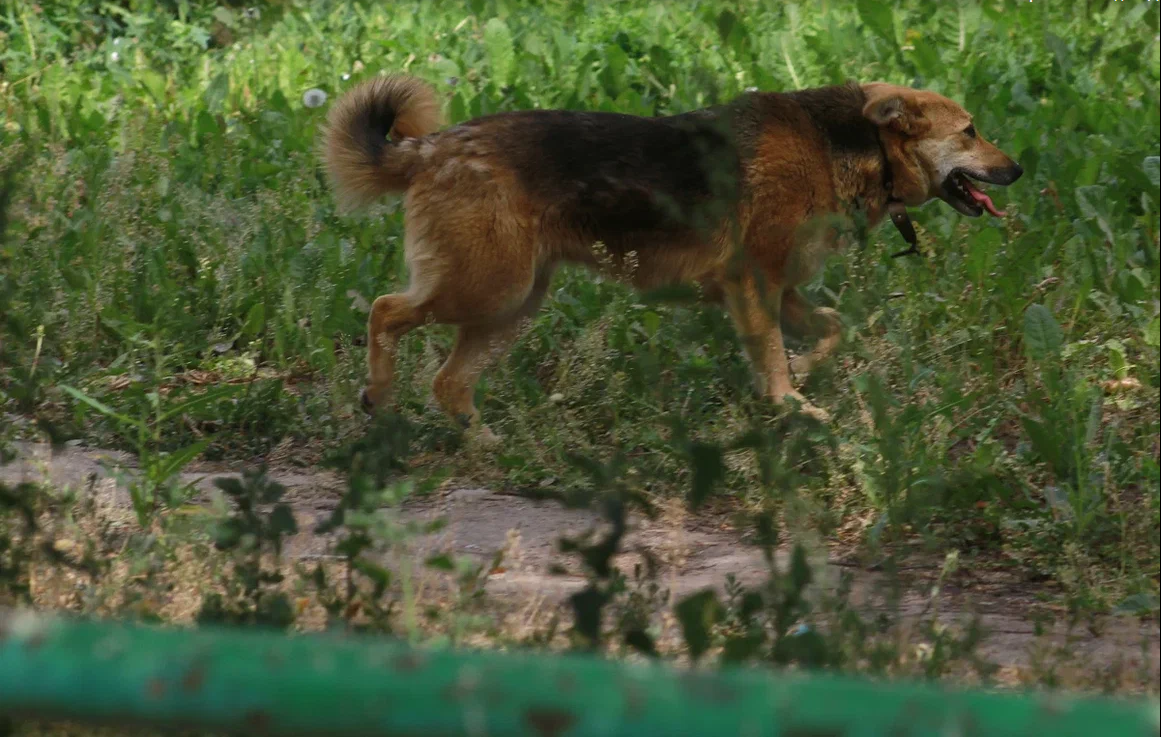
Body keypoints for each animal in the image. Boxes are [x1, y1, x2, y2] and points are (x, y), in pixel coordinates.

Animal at [322, 76, 1021, 438]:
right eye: (969, 131)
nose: (1017, 169)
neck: (850, 144)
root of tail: (431, 148)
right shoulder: (754, 283)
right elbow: (774, 356)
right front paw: (790, 405)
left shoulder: (781, 287)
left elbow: (833, 328)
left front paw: (805, 374)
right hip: (489, 287)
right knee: (384, 311)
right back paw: (379, 396)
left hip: (511, 304)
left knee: (448, 381)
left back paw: (483, 444)